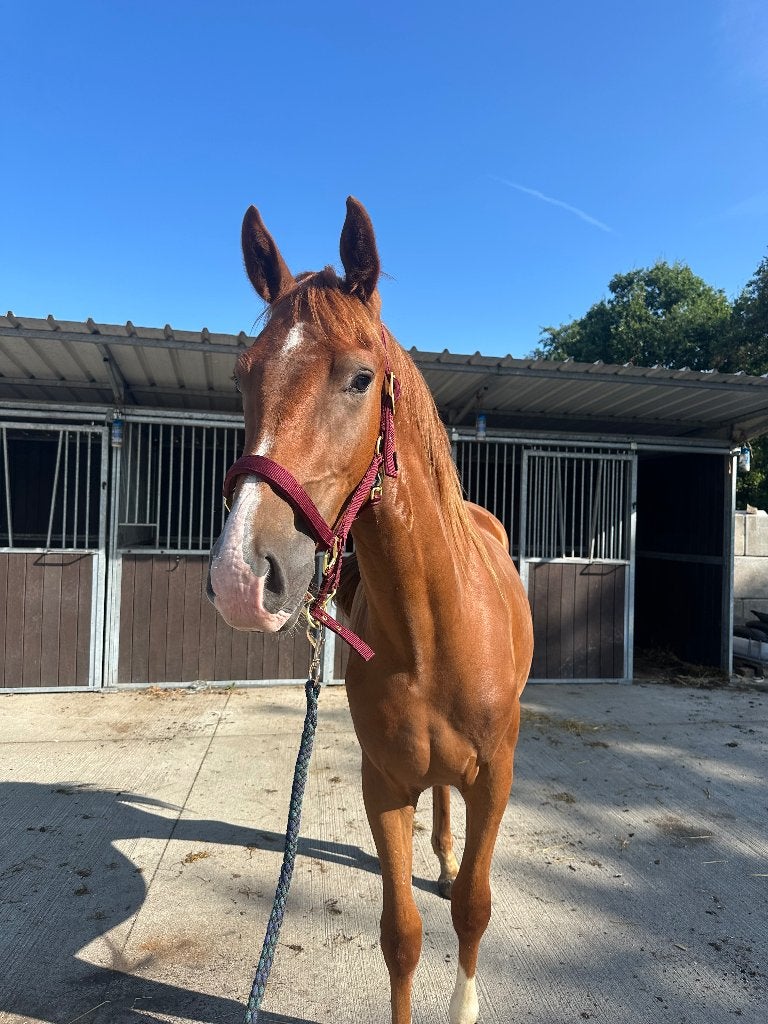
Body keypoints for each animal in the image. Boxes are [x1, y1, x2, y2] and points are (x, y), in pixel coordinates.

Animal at [207, 197, 534, 1024]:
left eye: (360, 378)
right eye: (244, 376)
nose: (239, 576)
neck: (437, 631)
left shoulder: (497, 777)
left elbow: (475, 906)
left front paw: (464, 1004)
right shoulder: (383, 785)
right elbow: (402, 935)